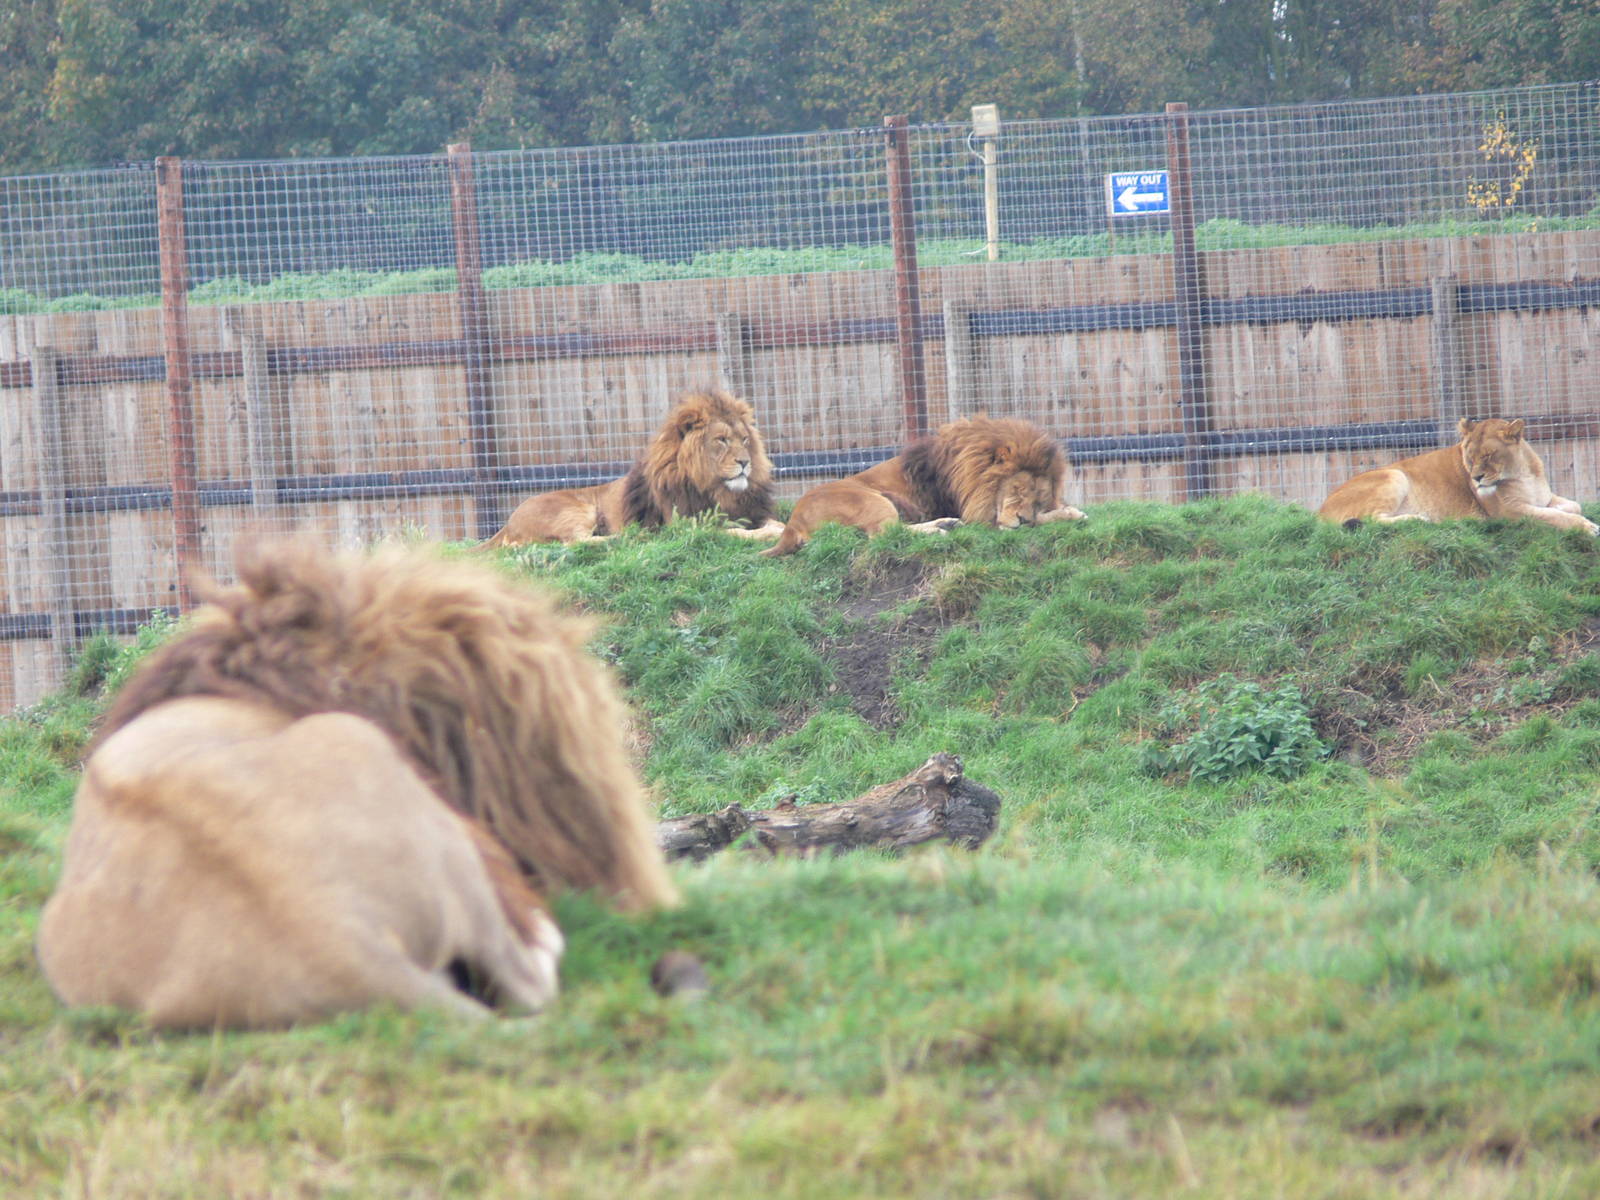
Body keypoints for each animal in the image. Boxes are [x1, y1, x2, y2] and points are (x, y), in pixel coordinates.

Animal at [482, 389, 784, 547]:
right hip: (575, 509)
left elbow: (770, 522)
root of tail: (506, 524)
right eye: (721, 440)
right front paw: (770, 534)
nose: (745, 462)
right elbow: (736, 533)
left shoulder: (751, 511)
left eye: (745, 440)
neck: (719, 491)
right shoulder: (687, 526)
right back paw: (630, 536)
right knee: (575, 542)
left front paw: (780, 527)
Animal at [762, 415, 1086, 557]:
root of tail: (793, 522)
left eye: (1038, 499)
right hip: (873, 500)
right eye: (1017, 490)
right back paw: (940, 528)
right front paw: (1071, 514)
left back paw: (944, 524)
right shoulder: (979, 518)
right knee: (884, 535)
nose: (1023, 519)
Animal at [1318, 417, 1597, 534]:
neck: (1522, 472)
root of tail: (1319, 512)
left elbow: (1573, 505)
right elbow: (1553, 517)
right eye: (1469, 457)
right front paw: (1589, 527)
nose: (1476, 478)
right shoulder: (1509, 513)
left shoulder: (1543, 498)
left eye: (1488, 455)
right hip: (1394, 475)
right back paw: (1419, 519)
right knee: (1372, 519)